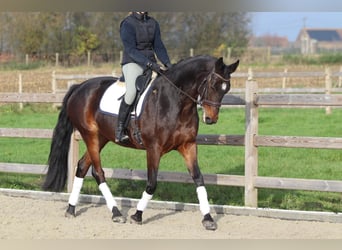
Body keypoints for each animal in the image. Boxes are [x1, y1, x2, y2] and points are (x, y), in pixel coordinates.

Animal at [42, 54, 239, 230]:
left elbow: (199, 179)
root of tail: (79, 86)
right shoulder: (153, 148)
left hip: (102, 138)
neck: (176, 102)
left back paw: (71, 209)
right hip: (90, 135)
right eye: (212, 85)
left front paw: (208, 219)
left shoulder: (188, 145)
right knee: (98, 172)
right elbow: (152, 183)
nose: (211, 119)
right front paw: (137, 215)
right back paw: (116, 213)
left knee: (83, 166)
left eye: (226, 88)